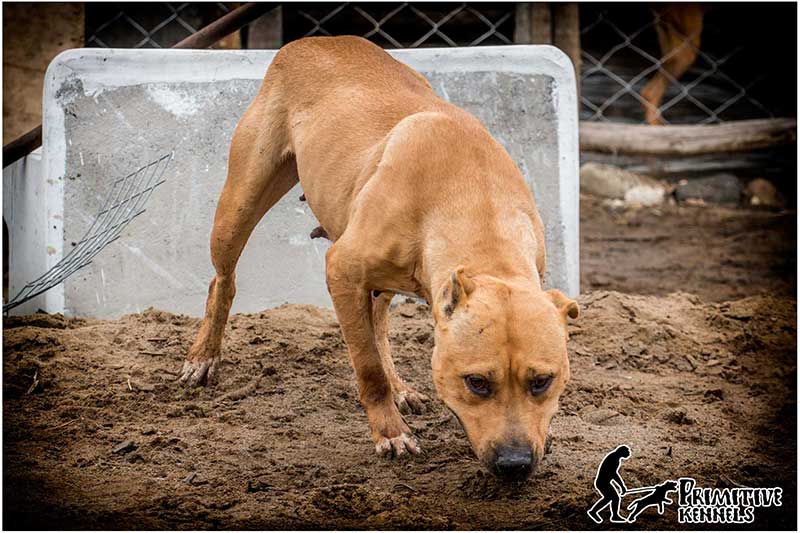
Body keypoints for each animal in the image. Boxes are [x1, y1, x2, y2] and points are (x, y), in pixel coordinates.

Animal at [181, 35, 580, 480]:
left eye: (542, 381)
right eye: (476, 382)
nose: (515, 464)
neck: (477, 204)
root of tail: (312, 40)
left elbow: (374, 341)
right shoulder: (342, 271)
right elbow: (367, 365)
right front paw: (390, 433)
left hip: (380, 277)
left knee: (378, 321)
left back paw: (401, 387)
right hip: (239, 205)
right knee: (223, 279)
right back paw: (203, 357)